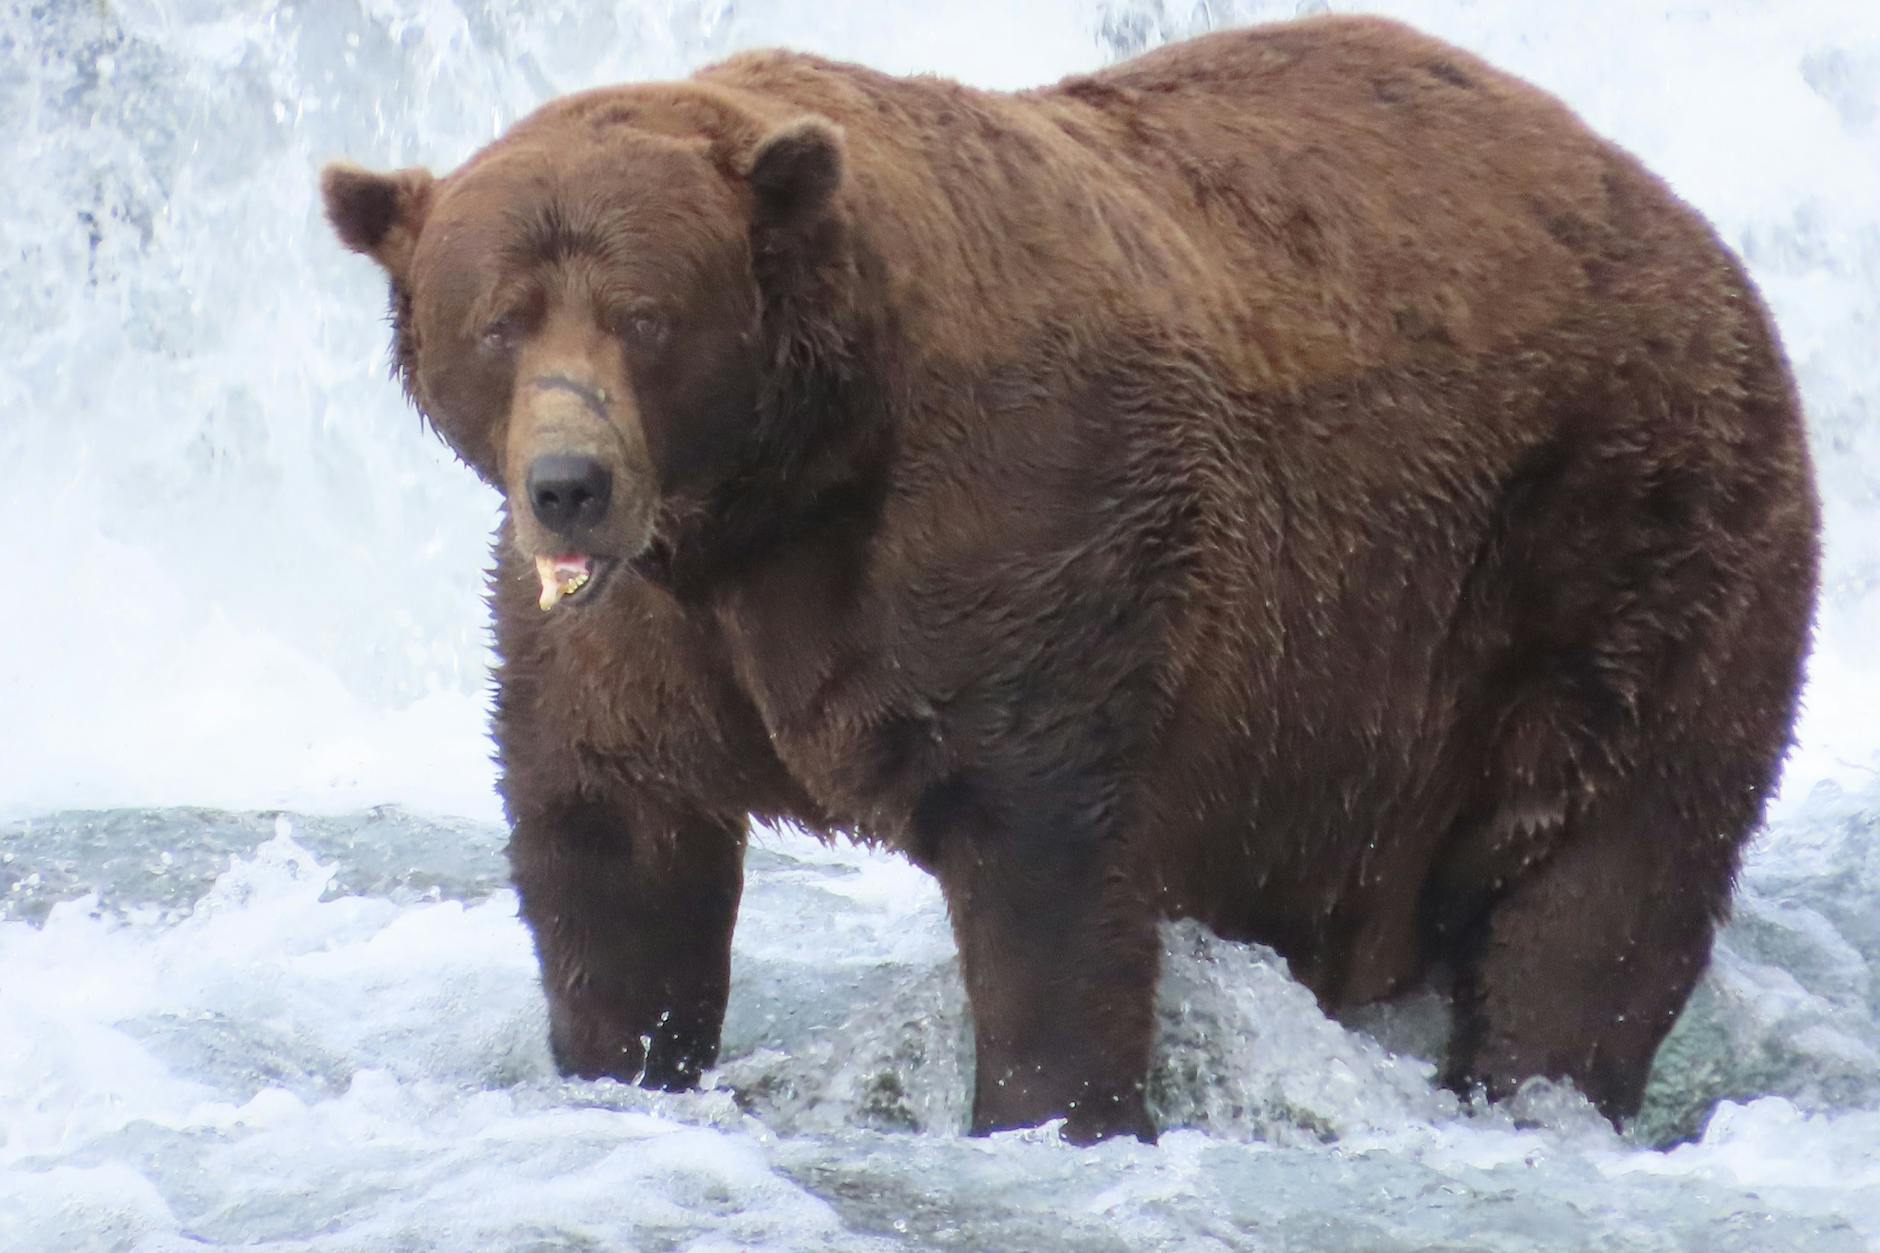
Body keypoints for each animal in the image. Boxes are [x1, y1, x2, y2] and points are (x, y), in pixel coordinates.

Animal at [321, 14, 1819, 1143]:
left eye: (646, 316)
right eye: (499, 321)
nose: (569, 480)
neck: (776, 493)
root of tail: (1684, 222)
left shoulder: (1023, 526)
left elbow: (1045, 858)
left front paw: (1049, 1109)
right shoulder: (640, 632)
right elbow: (611, 839)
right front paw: (624, 1058)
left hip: (1619, 539)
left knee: (1606, 878)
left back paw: (1538, 1085)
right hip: (1355, 718)